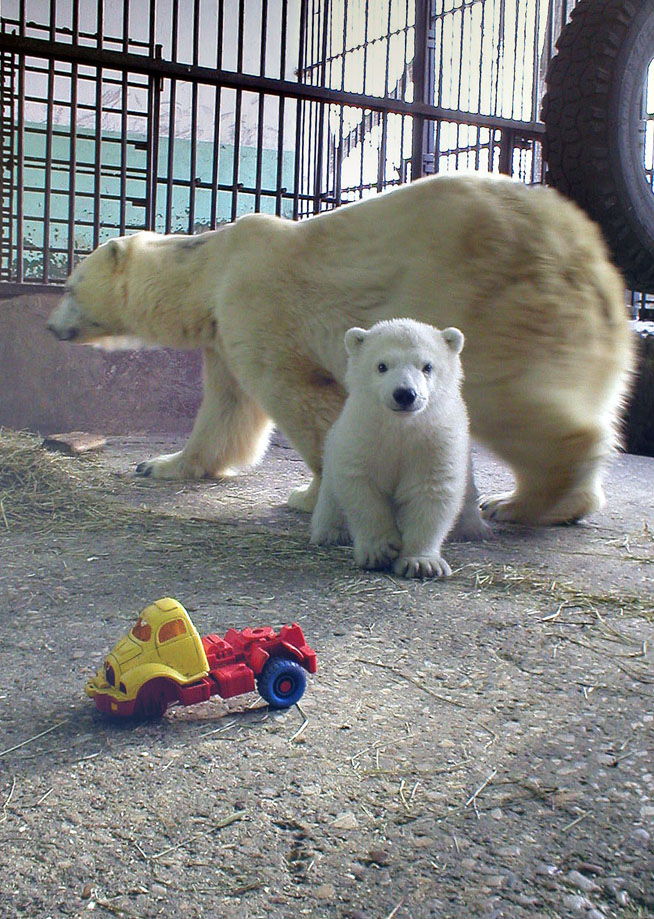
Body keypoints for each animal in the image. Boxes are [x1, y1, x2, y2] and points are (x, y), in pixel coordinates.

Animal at [47, 175, 636, 528]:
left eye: (70, 286)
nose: (51, 328)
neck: (212, 268)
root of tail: (591, 259)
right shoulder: (224, 333)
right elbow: (226, 410)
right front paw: (161, 464)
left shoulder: (258, 305)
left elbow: (300, 396)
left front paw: (309, 496)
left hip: (487, 299)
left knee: (504, 398)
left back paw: (523, 501)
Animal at [314, 322, 472, 584]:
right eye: (381, 365)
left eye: (427, 366)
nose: (405, 394)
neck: (401, 427)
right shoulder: (364, 435)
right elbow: (362, 488)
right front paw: (380, 550)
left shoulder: (435, 442)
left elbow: (431, 490)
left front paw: (422, 563)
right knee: (331, 496)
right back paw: (330, 533)